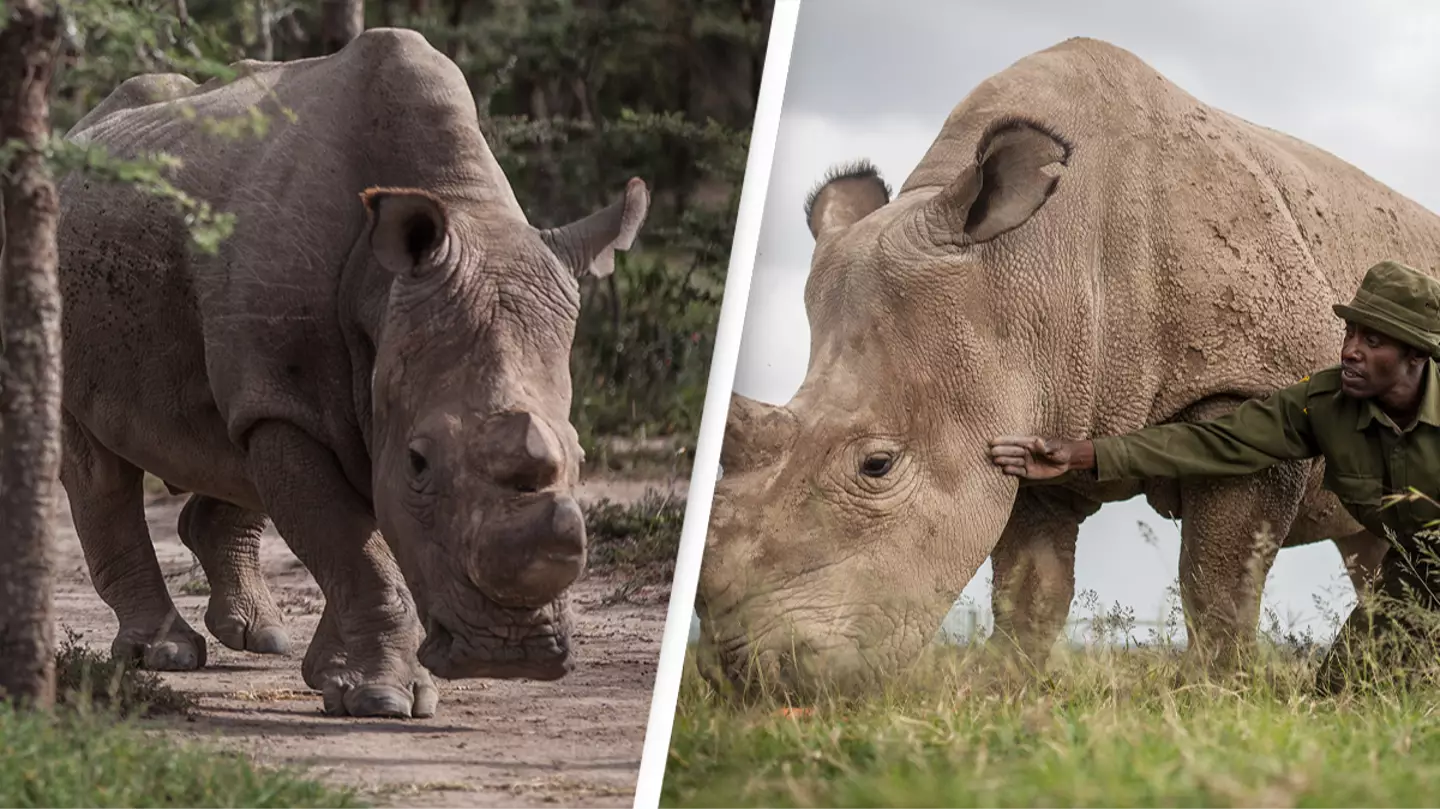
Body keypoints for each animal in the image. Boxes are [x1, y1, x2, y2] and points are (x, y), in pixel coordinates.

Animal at [54, 28, 648, 718]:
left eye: (581, 459)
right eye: (419, 462)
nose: (509, 655)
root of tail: (79, 131)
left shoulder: (325, 379)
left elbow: (352, 538)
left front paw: (330, 676)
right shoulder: (291, 403)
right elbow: (352, 544)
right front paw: (382, 699)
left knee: (228, 438)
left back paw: (261, 636)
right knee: (101, 465)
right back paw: (167, 654)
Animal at [696, 36, 1440, 695]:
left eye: (876, 465)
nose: (747, 676)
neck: (1031, 261)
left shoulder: (1249, 382)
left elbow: (1218, 573)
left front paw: (1213, 694)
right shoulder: (1030, 402)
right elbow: (1030, 588)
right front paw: (1004, 692)